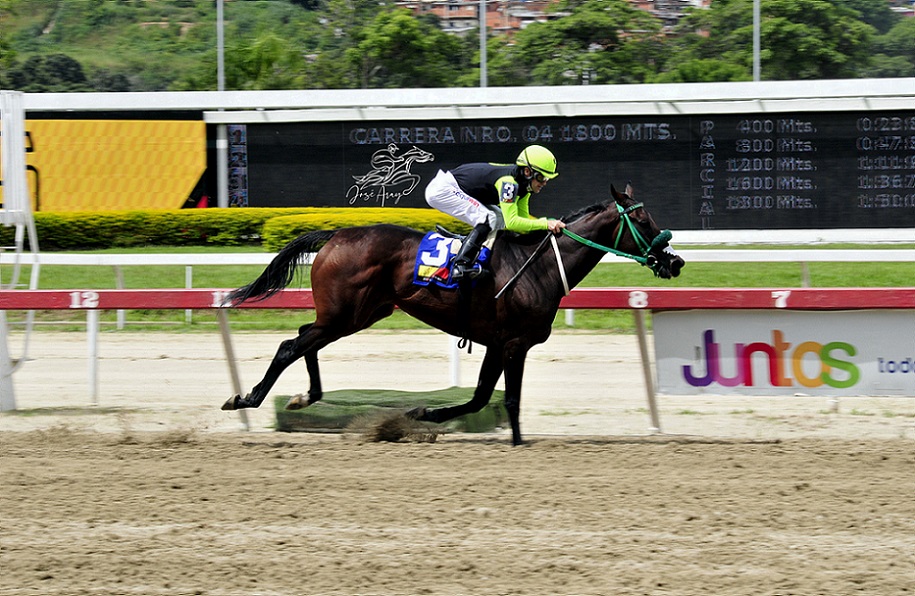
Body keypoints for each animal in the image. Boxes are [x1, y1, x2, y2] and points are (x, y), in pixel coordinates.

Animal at [221, 184, 684, 445]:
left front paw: (418, 416)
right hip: (344, 314)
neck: (538, 266)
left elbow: (481, 397)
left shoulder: (497, 344)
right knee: (290, 345)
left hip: (355, 315)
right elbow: (508, 398)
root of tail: (336, 233)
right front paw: (518, 443)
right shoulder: (514, 344)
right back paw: (247, 398)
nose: (675, 261)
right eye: (643, 219)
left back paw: (304, 397)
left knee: (304, 338)